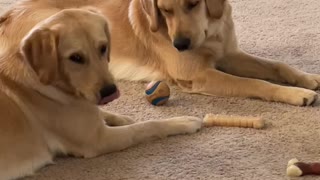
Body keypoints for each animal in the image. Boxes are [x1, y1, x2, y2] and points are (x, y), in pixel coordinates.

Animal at [0, 4, 201, 180]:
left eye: (103, 48)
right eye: (75, 58)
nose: (109, 91)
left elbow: (107, 113)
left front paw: (122, 117)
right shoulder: (99, 140)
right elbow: (146, 126)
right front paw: (182, 121)